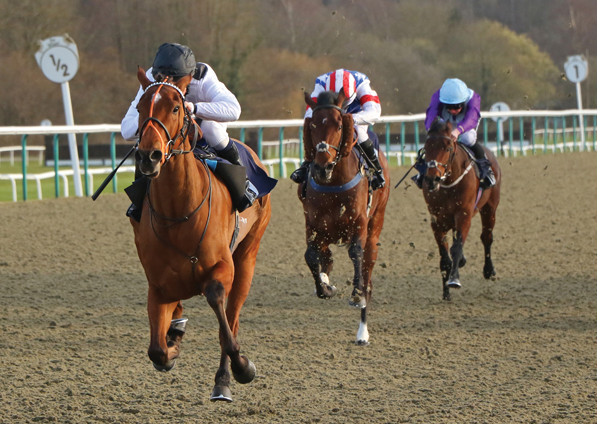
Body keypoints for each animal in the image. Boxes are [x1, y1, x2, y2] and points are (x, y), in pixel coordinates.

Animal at [132, 68, 272, 402]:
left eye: (175, 108)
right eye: (140, 108)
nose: (148, 156)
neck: (178, 213)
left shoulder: (221, 268)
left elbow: (222, 319)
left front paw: (242, 368)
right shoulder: (157, 285)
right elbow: (157, 351)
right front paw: (172, 343)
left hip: (247, 256)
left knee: (231, 319)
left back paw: (223, 380)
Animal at [298, 90, 392, 344]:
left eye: (340, 125)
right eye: (312, 126)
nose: (322, 167)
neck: (334, 183)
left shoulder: (359, 222)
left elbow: (355, 252)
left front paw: (356, 294)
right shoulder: (313, 223)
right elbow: (311, 256)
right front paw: (325, 287)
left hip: (375, 224)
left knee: (367, 271)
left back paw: (362, 331)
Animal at [422, 117, 500, 300]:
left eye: (448, 147)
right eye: (426, 148)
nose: (432, 179)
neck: (449, 184)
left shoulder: (464, 215)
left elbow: (456, 248)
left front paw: (454, 280)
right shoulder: (437, 221)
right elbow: (445, 257)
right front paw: (445, 292)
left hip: (490, 208)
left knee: (487, 237)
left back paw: (489, 270)